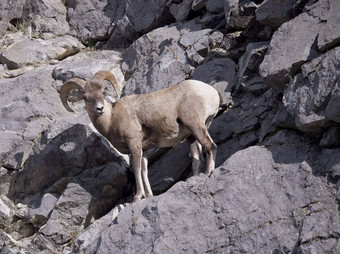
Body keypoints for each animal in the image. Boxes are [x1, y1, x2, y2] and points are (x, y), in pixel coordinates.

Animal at [60, 70, 222, 200]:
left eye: (103, 93)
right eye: (86, 98)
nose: (100, 109)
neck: (111, 118)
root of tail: (212, 92)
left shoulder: (134, 145)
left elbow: (137, 170)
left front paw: (138, 197)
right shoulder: (144, 150)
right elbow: (144, 171)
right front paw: (149, 195)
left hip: (196, 126)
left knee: (211, 146)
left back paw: (208, 172)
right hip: (191, 136)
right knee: (196, 158)